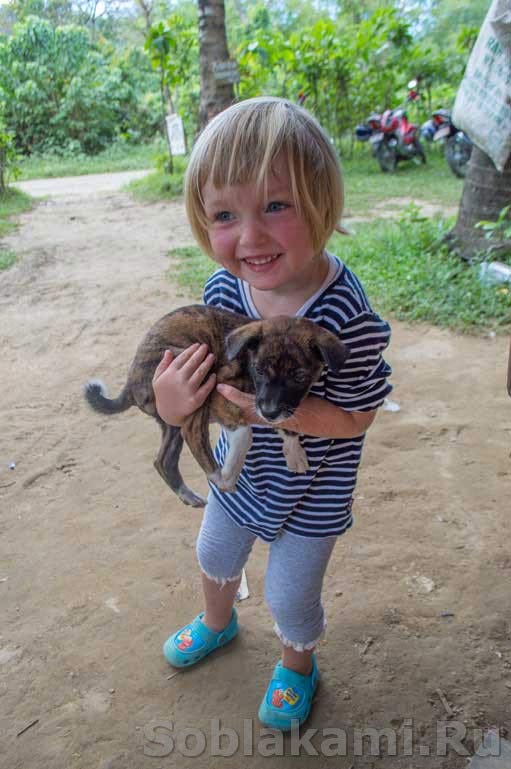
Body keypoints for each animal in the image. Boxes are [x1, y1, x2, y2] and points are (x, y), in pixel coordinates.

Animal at [84, 304, 350, 508]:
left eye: (299, 376)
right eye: (259, 370)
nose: (269, 412)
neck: (246, 362)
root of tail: (131, 380)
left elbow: (287, 421)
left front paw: (293, 450)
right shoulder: (220, 394)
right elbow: (244, 434)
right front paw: (231, 469)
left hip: (172, 417)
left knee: (164, 460)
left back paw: (188, 494)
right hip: (194, 373)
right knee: (192, 434)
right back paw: (220, 478)